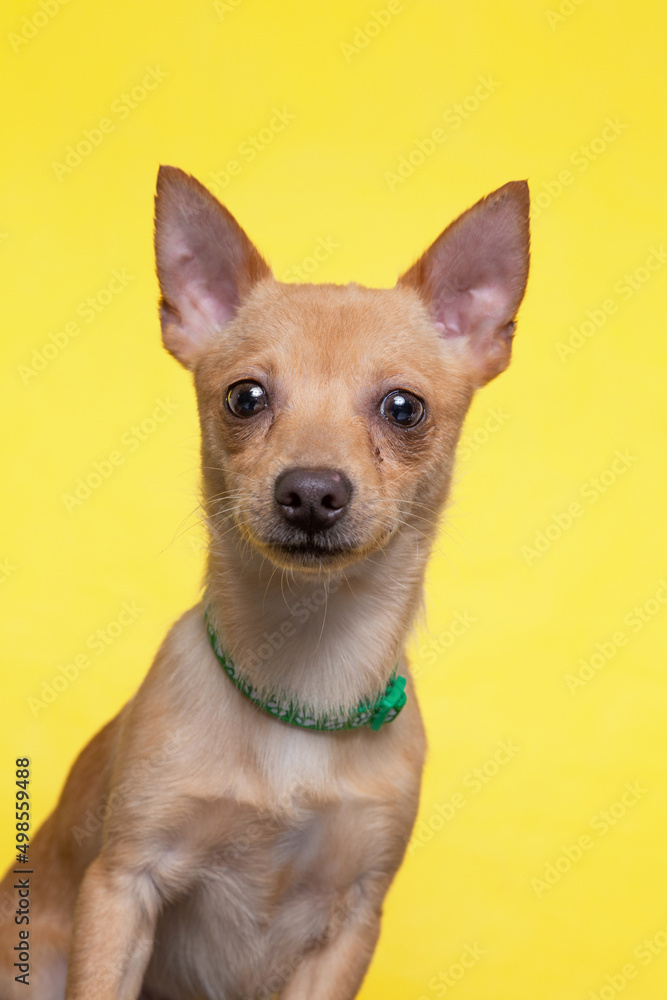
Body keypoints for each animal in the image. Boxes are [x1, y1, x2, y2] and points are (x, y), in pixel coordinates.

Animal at [1, 168, 532, 996]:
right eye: (243, 398)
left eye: (403, 408)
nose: (311, 491)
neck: (306, 669)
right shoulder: (122, 886)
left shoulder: (350, 925)